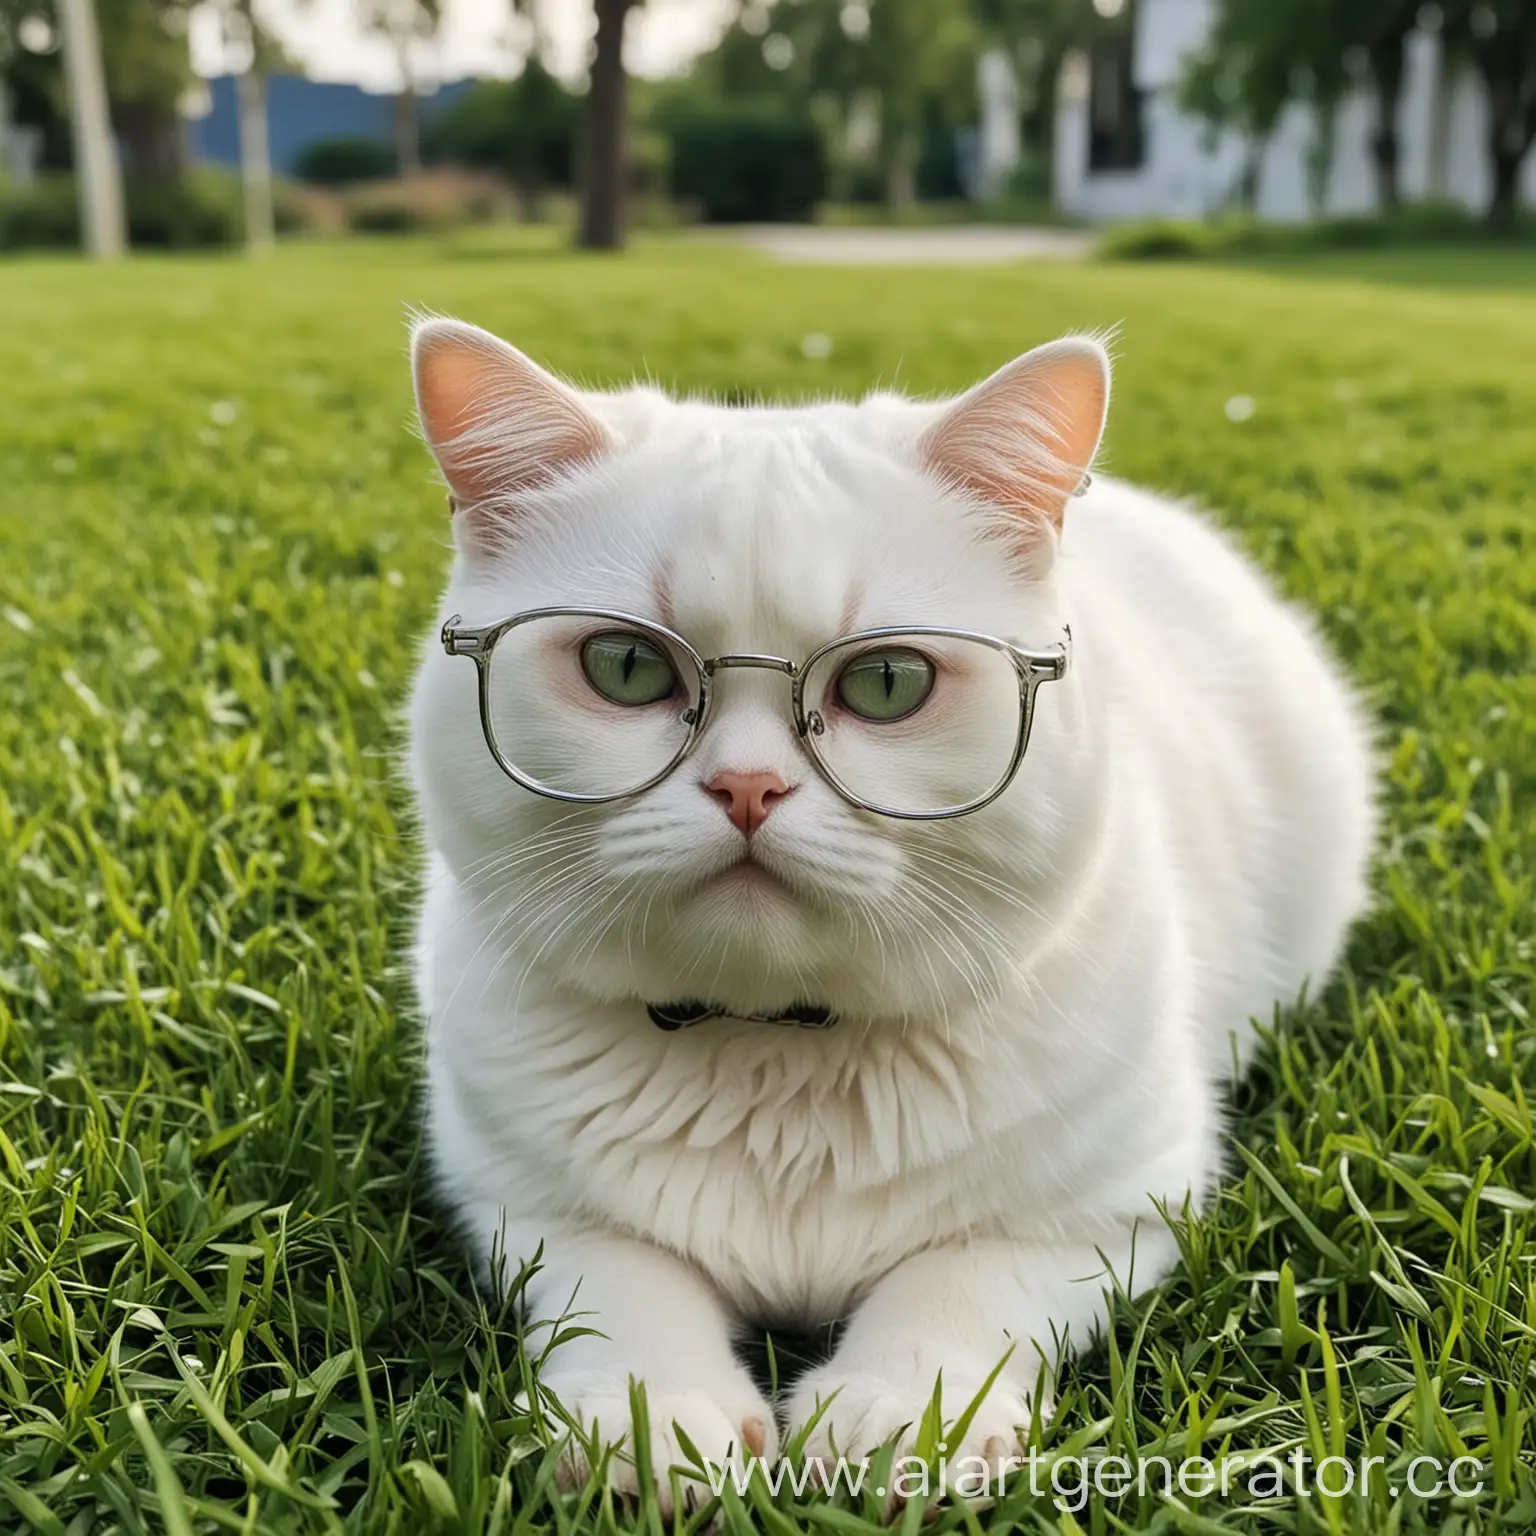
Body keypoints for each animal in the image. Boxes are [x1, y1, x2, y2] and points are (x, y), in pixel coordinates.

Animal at [402, 317, 1376, 1505]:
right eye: (625, 666)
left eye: (888, 684)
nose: (748, 790)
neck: (773, 1057)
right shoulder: (523, 1206)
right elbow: (621, 1293)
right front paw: (658, 1423)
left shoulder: (1118, 1206)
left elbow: (959, 1286)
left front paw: (906, 1419)